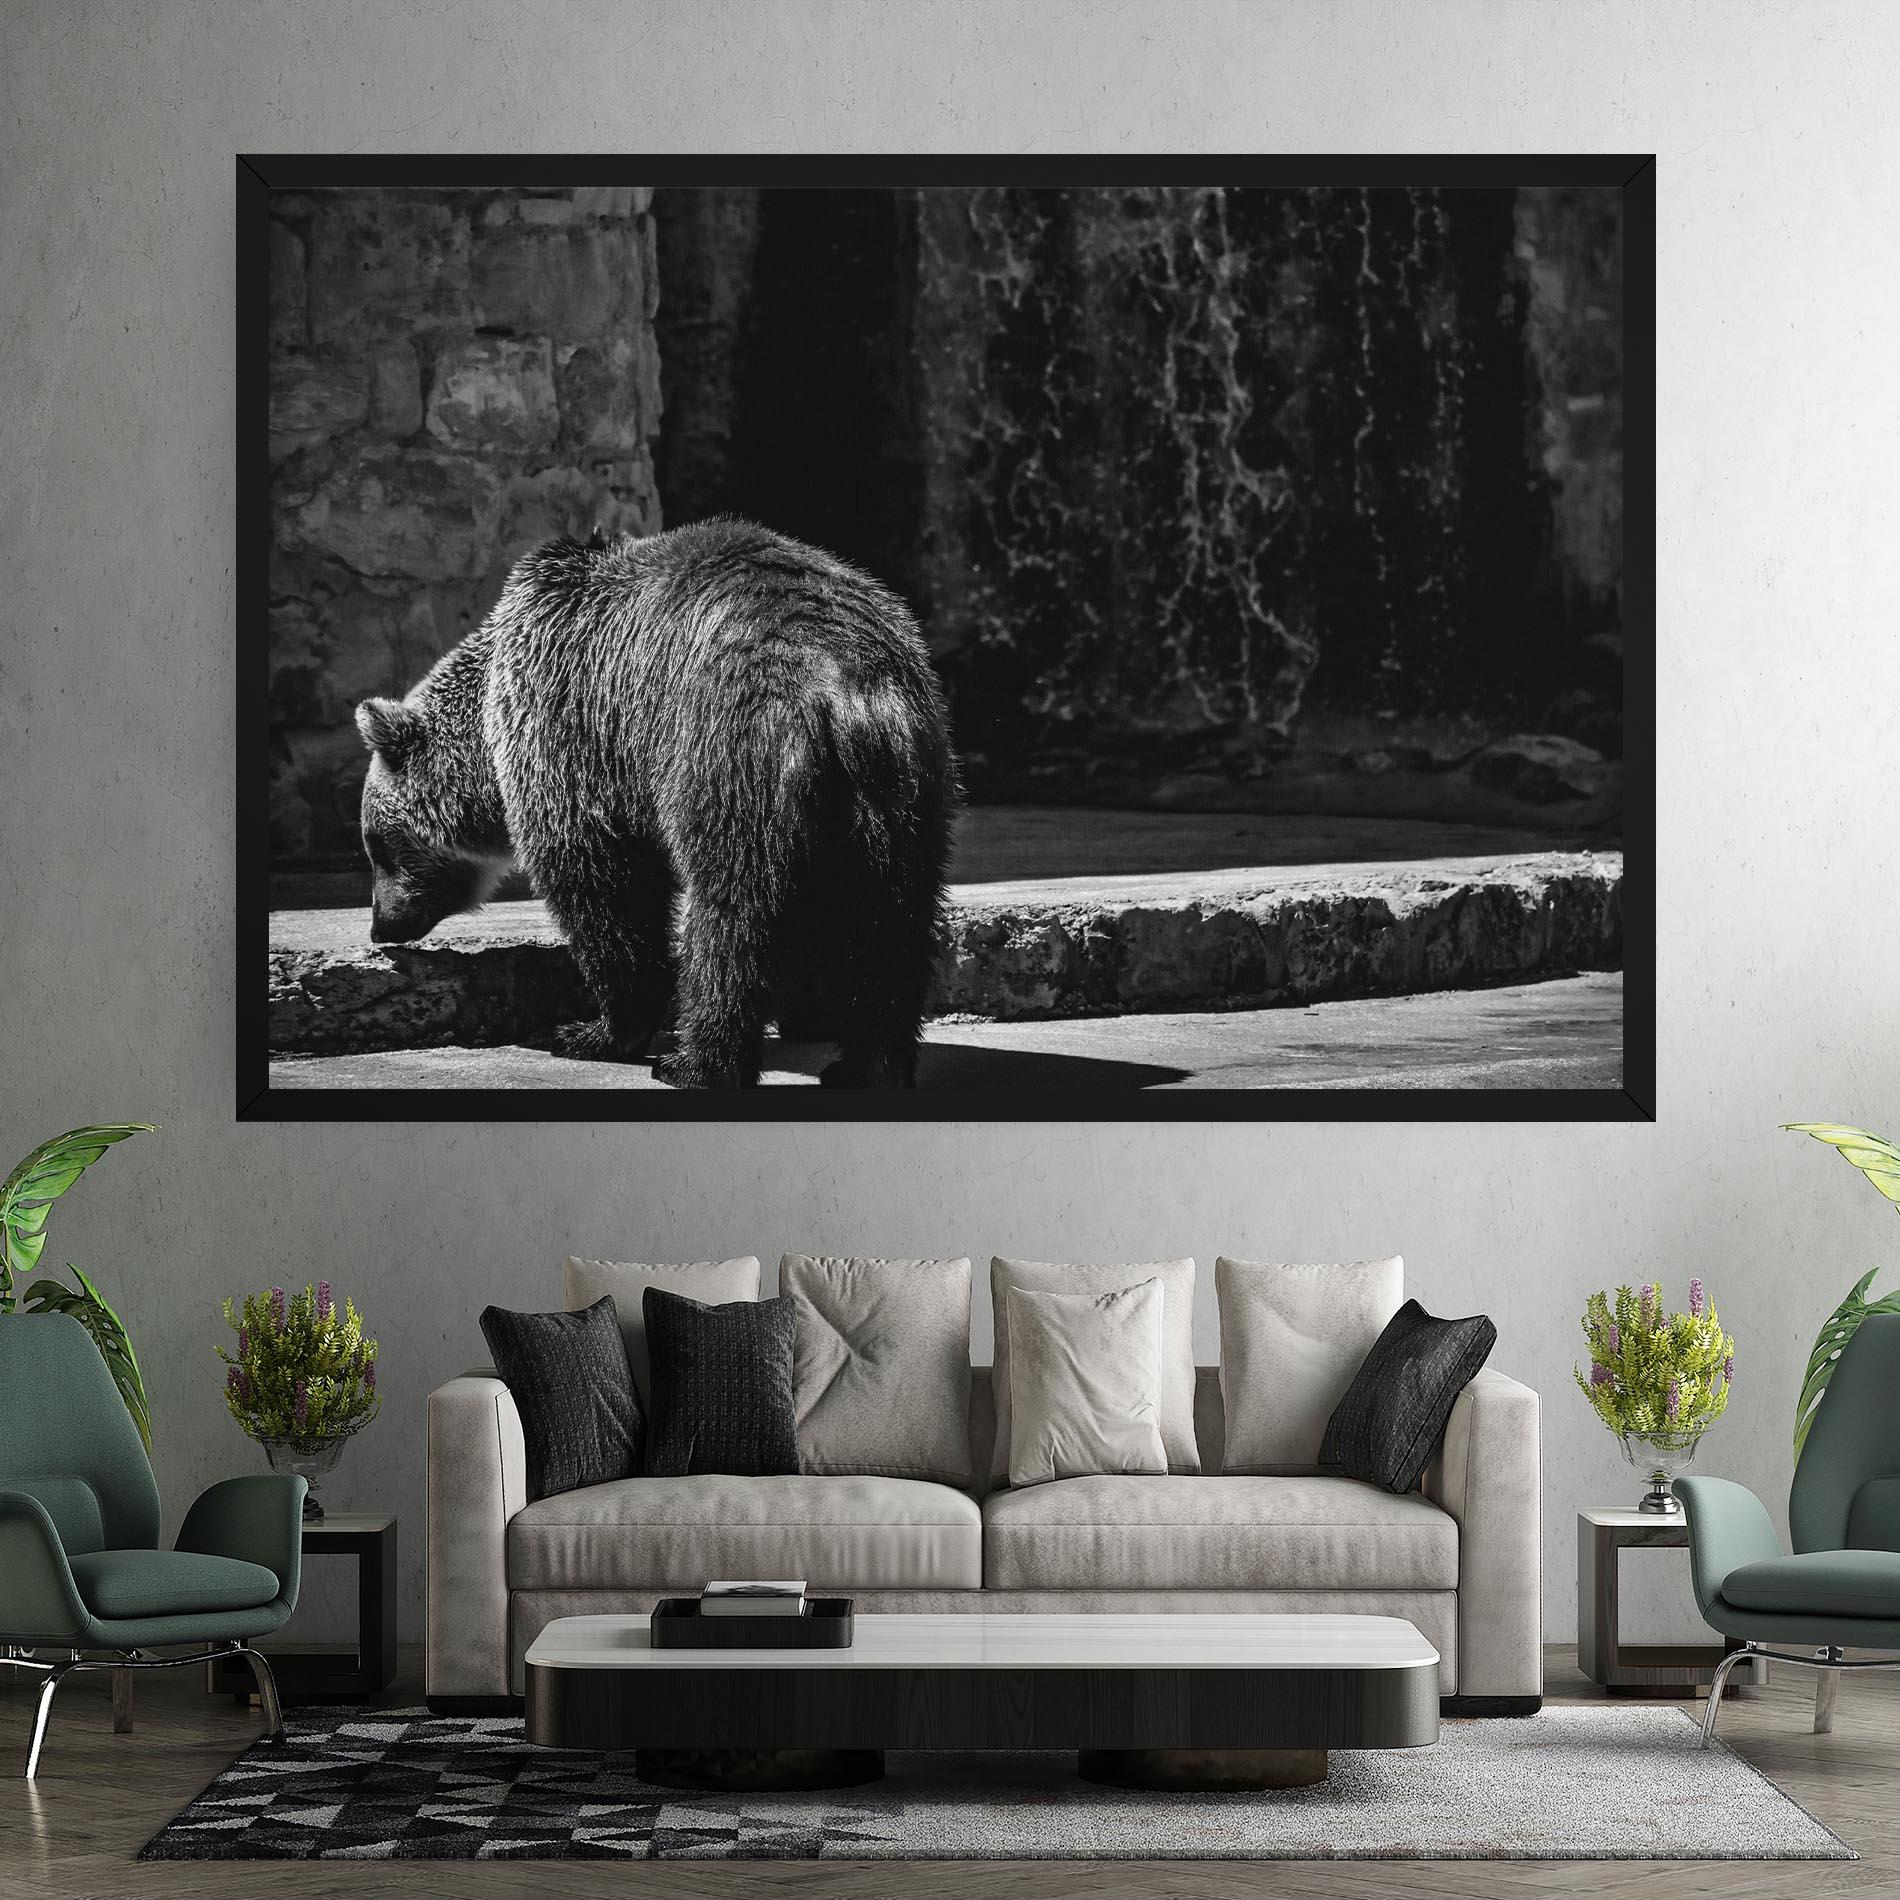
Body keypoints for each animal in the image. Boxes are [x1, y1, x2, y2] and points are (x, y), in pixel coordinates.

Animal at [353, 517, 958, 1089]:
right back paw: (869, 1065)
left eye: (376, 845)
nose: (381, 926)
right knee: (890, 920)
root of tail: (843, 686)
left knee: (732, 914)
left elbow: (604, 884)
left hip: (730, 754)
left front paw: (591, 1030)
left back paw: (695, 1063)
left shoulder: (575, 727)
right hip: (902, 791)